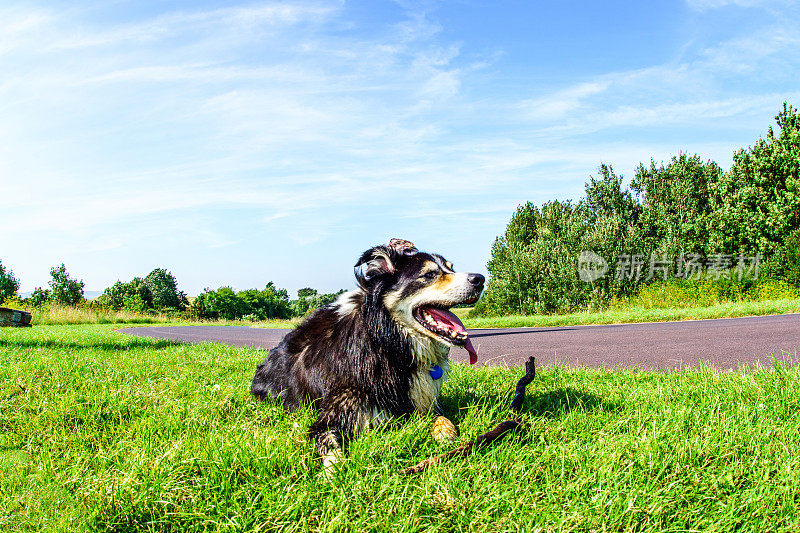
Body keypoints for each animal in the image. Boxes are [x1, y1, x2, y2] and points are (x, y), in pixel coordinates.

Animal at [250, 239, 484, 472]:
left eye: (451, 268)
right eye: (428, 274)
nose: (480, 279)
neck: (385, 342)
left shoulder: (422, 401)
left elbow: (442, 417)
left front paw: (446, 433)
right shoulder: (335, 412)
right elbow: (328, 441)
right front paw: (335, 470)